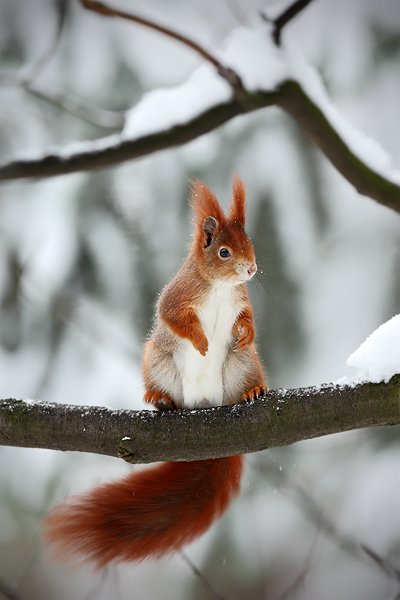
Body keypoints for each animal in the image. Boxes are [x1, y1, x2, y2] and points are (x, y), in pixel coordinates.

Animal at [43, 176, 266, 564]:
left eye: (249, 242)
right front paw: (200, 342)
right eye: (224, 252)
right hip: (157, 360)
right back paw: (160, 399)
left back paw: (252, 391)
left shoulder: (241, 300)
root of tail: (205, 404)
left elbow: (248, 318)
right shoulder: (177, 296)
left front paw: (247, 332)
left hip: (242, 363)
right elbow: (171, 317)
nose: (251, 269)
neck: (220, 287)